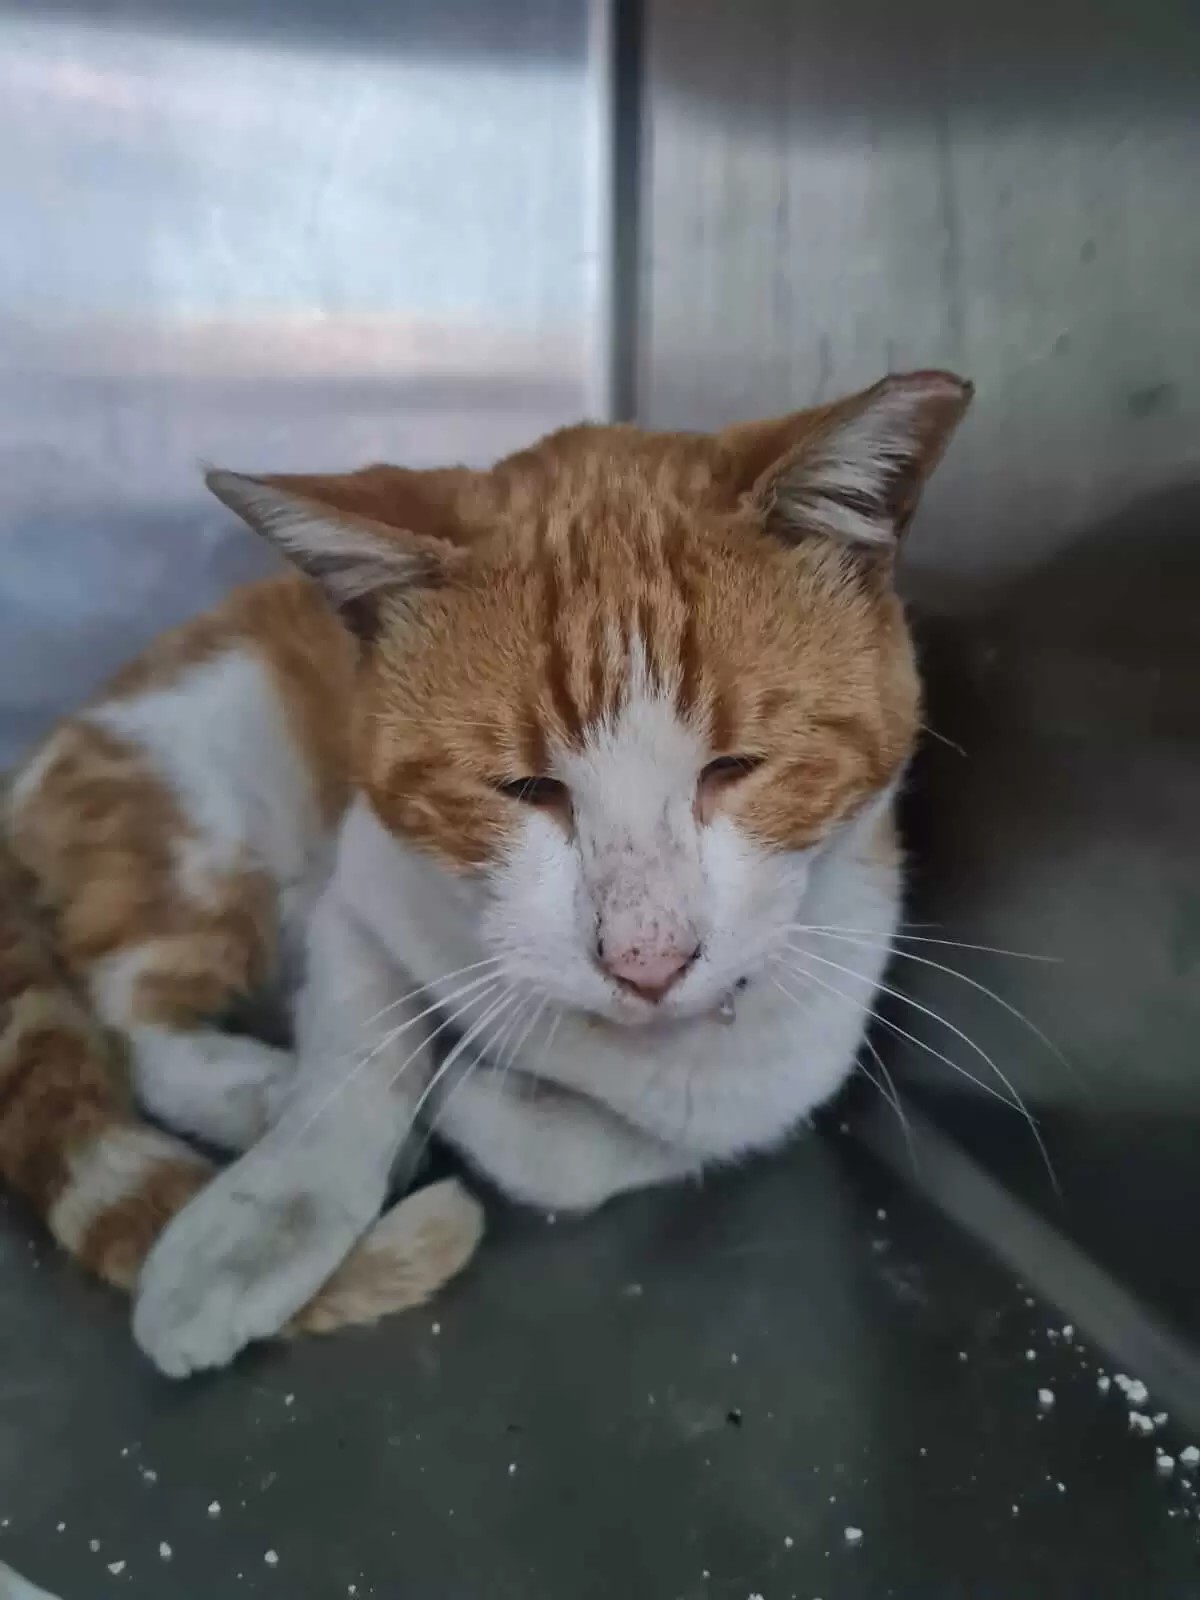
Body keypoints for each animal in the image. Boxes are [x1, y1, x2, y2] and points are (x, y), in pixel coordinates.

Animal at [0, 370, 971, 1376]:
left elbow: (593, 1153)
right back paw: (260, 1090)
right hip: (207, 823)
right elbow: (354, 1064)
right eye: (524, 788)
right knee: (130, 1015)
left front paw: (464, 1093)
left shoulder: (774, 1089)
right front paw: (263, 1214)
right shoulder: (358, 899)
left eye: (736, 767)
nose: (647, 961)